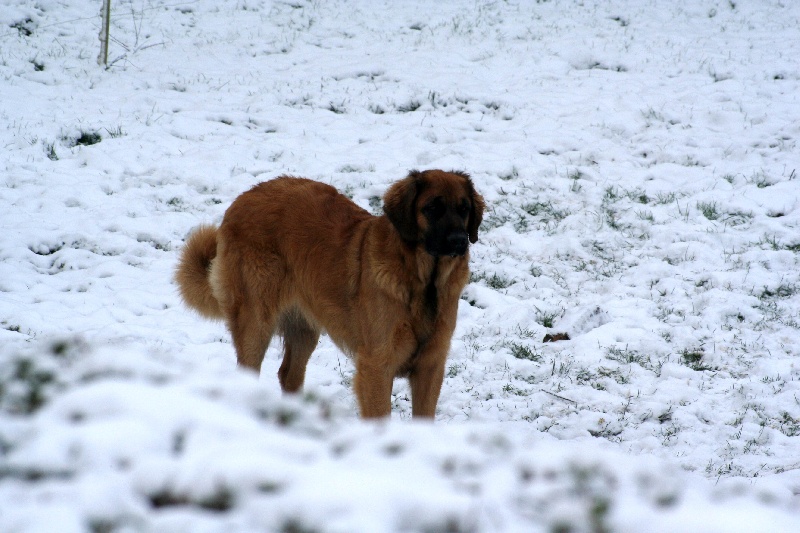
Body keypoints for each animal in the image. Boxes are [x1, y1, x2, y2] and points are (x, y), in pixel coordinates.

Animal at [176, 168, 484, 418]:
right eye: (432, 208)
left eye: (464, 209)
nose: (460, 241)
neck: (422, 282)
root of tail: (243, 198)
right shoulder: (376, 367)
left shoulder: (430, 367)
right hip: (255, 324)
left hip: (304, 327)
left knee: (288, 375)